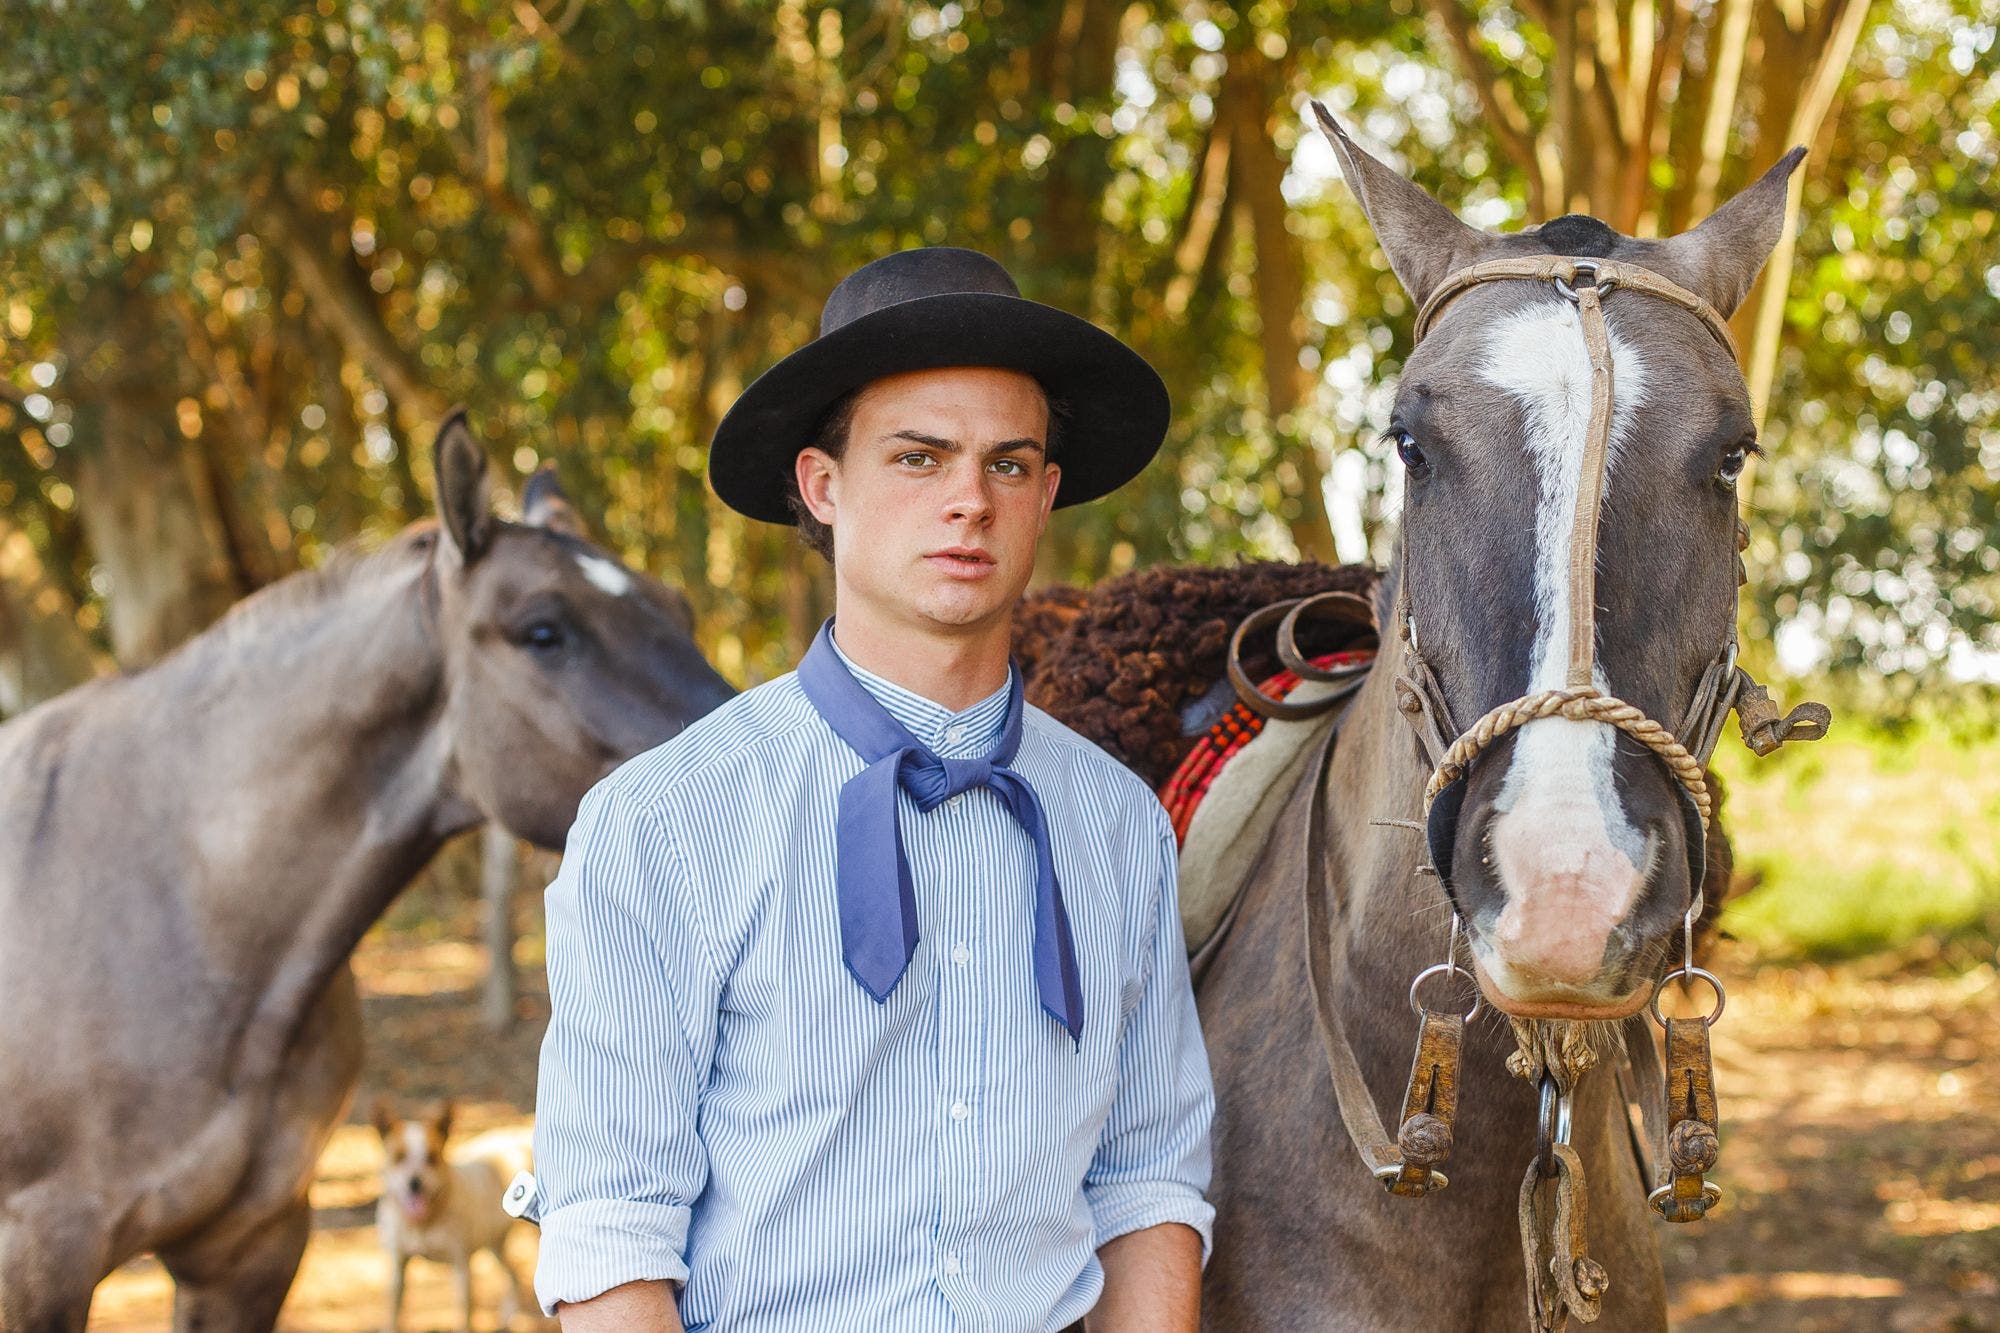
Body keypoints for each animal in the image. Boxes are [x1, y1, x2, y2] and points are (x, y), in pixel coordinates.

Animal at [376, 1096, 540, 1320]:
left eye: (431, 1157)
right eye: (399, 1157)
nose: (415, 1183)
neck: (425, 1223)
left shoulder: (461, 1266)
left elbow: (464, 1317)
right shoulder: (398, 1267)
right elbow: (393, 1317)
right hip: (495, 1244)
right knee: (513, 1273)